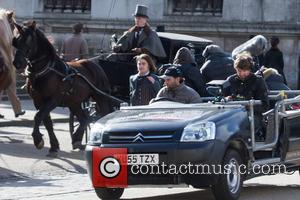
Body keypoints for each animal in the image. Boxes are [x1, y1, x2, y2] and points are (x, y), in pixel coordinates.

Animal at [12, 21, 113, 156]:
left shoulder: (53, 100)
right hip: (74, 102)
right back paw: (77, 139)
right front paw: (53, 146)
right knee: (84, 118)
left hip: (100, 97)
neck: (46, 70)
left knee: (105, 115)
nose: (17, 63)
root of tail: (95, 65)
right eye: (16, 41)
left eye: (29, 41)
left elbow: (38, 117)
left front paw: (37, 139)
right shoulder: (38, 101)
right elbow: (47, 121)